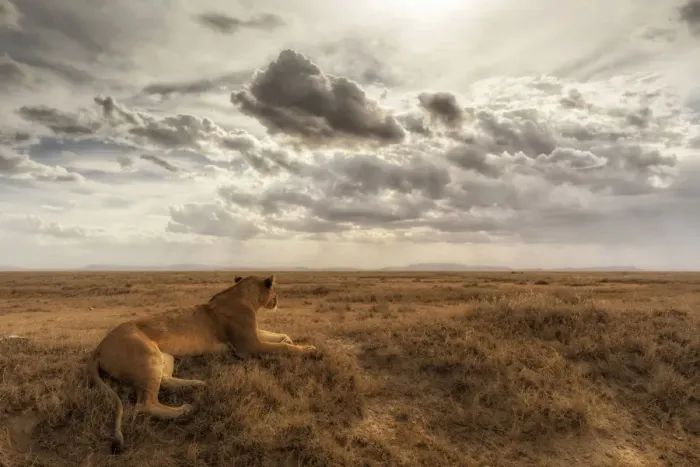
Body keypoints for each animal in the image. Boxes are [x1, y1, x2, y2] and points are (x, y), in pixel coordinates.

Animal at [86, 274, 316, 454]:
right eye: (275, 290)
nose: (277, 300)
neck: (245, 296)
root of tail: (99, 346)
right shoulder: (248, 346)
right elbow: (282, 348)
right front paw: (308, 349)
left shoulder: (254, 336)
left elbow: (274, 334)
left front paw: (288, 338)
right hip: (147, 355)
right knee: (145, 405)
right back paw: (185, 410)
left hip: (164, 356)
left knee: (165, 380)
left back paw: (199, 384)